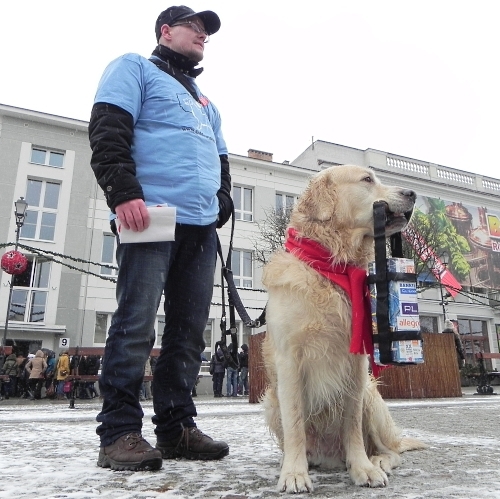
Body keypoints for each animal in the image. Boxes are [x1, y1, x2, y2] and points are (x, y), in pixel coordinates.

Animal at [262, 166, 426, 494]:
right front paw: (294, 473)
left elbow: (351, 423)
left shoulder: (357, 363)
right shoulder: (289, 360)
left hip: (373, 397)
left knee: (391, 452)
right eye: (367, 179)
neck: (333, 266)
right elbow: (295, 423)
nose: (413, 193)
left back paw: (376, 461)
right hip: (271, 402)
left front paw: (362, 468)